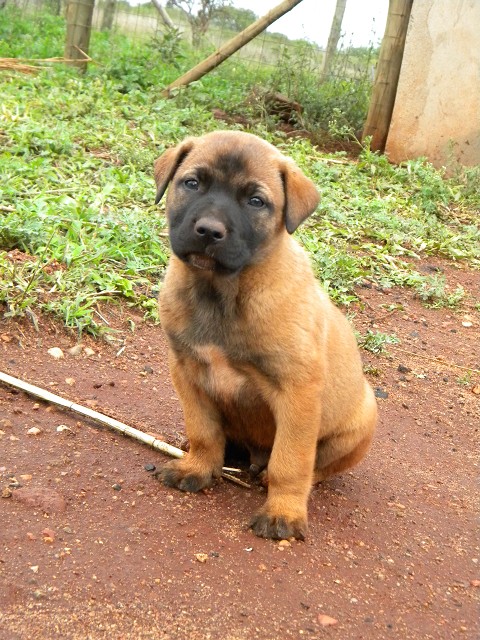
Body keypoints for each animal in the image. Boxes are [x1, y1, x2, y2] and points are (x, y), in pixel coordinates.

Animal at [154, 131, 377, 540]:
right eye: (192, 183)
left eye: (256, 201)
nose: (209, 231)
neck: (223, 292)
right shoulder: (186, 370)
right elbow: (203, 430)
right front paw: (197, 467)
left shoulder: (297, 392)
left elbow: (291, 462)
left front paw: (283, 512)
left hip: (363, 417)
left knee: (313, 467)